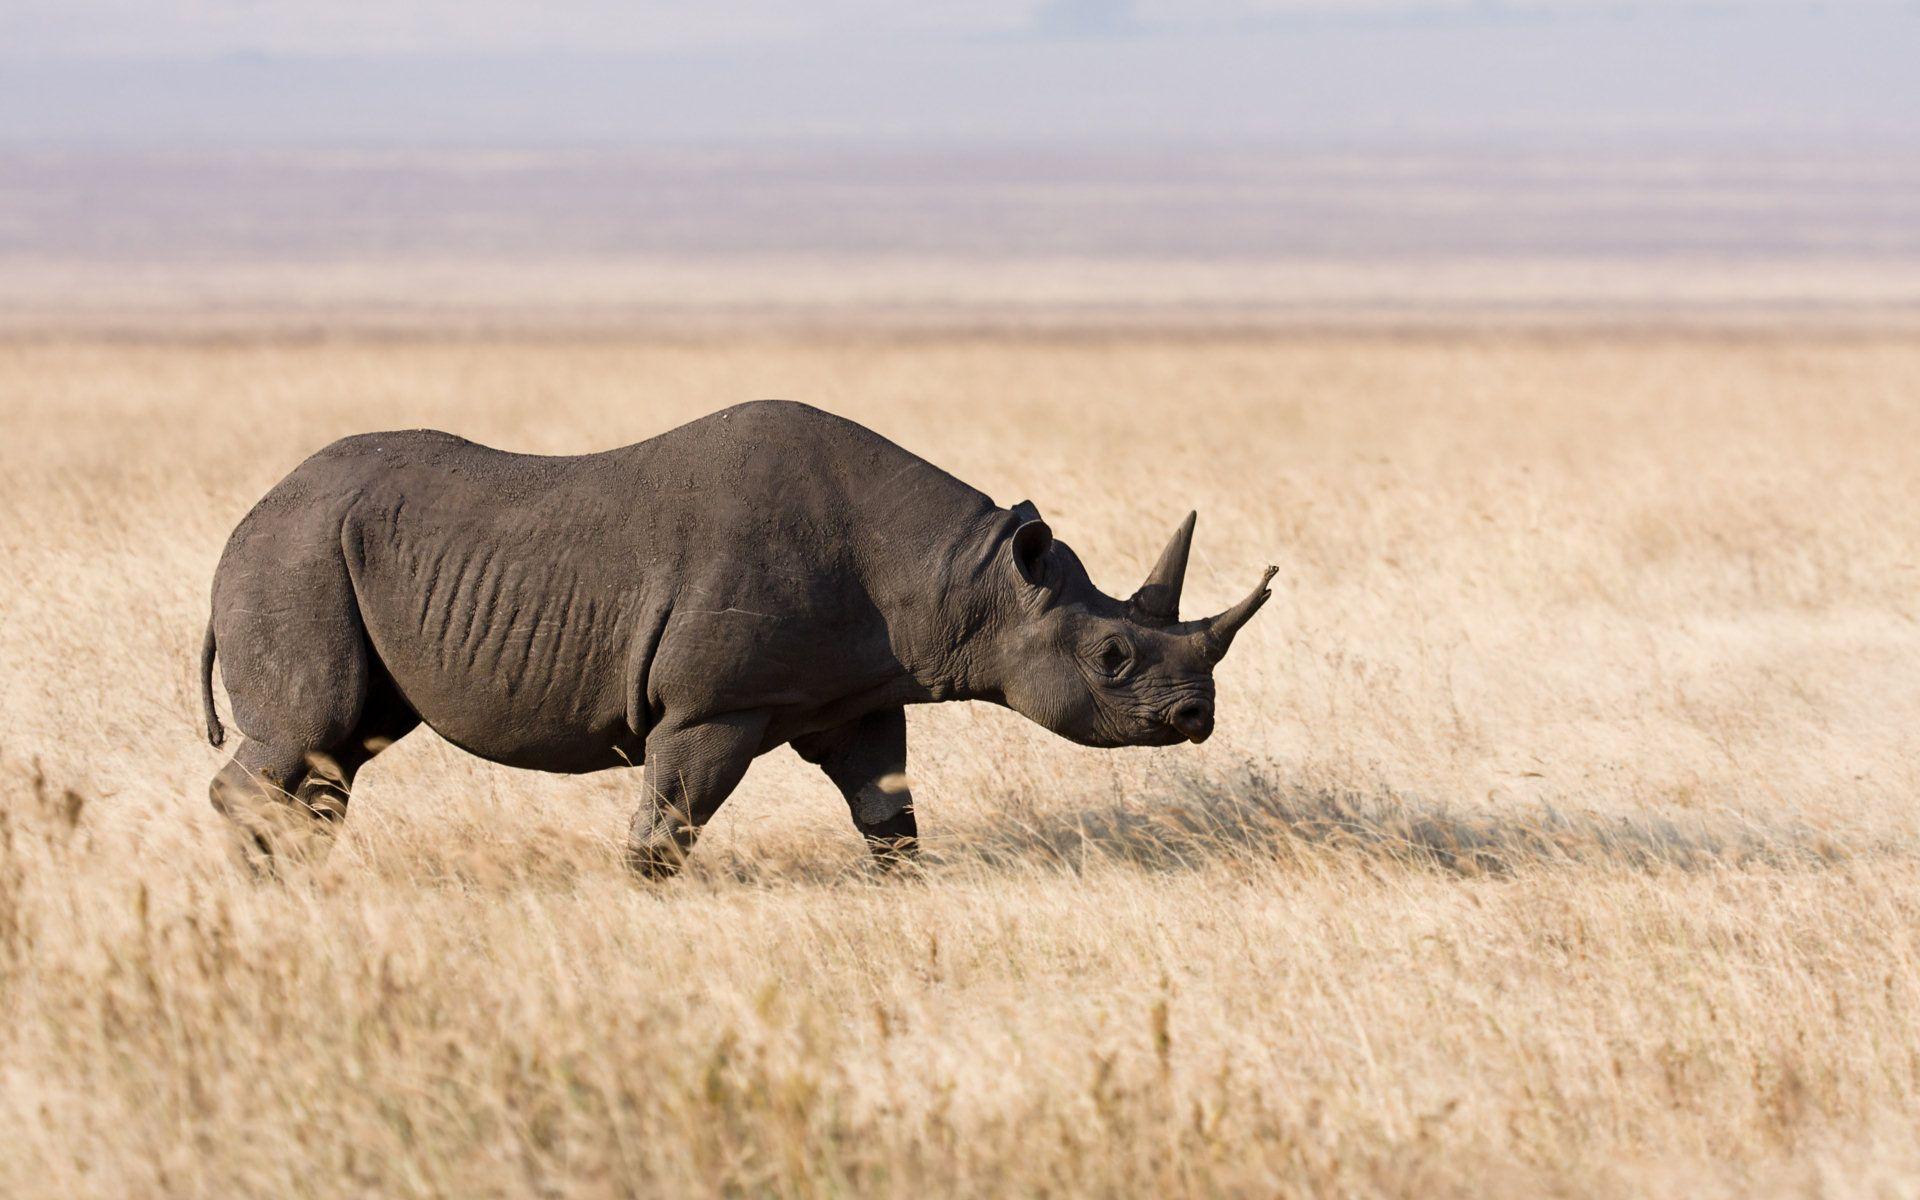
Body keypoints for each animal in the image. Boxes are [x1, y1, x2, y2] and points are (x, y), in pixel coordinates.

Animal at [200, 400, 1274, 874]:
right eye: (1111, 659)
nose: (1196, 716)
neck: (967, 579)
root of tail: (246, 518)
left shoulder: (857, 692)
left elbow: (889, 814)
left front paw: (901, 891)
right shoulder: (714, 706)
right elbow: (668, 825)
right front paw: (644, 899)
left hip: (321, 552)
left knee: (343, 747)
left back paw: (298, 876)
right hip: (296, 556)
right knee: (316, 726)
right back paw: (269, 878)